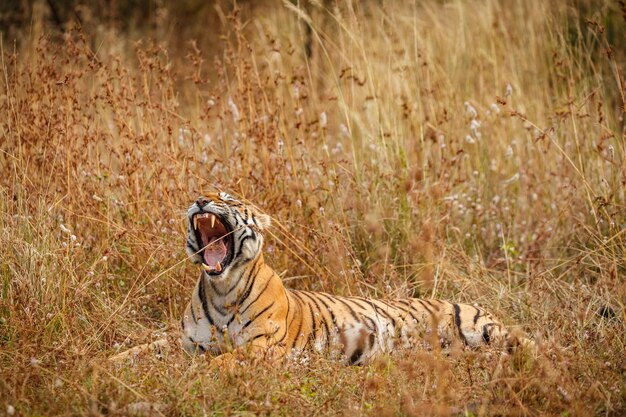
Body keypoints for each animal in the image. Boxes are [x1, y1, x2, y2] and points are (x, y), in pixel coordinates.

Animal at [178, 192, 528, 364]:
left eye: (228, 199)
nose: (199, 201)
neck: (223, 289)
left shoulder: (265, 344)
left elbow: (225, 360)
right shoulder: (190, 343)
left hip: (480, 328)